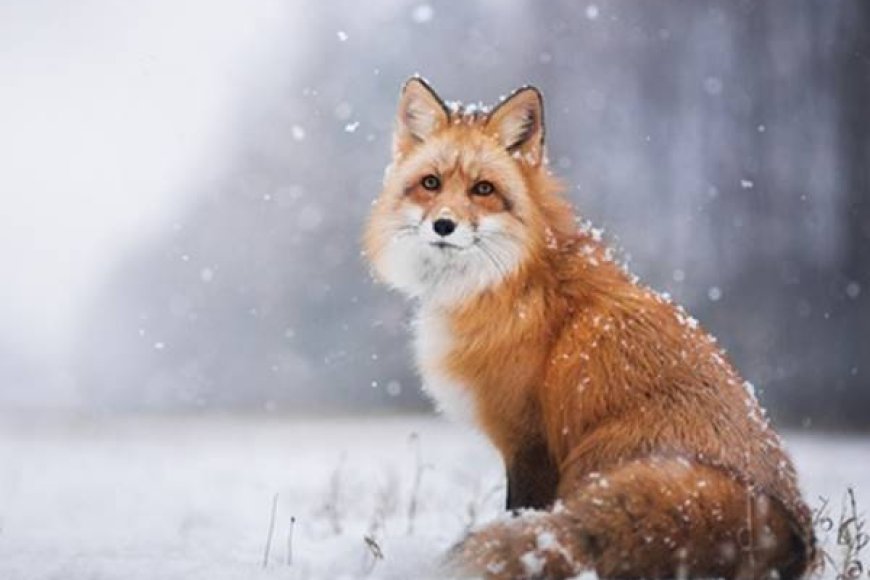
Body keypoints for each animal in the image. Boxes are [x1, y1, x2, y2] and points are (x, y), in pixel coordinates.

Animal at [363, 77, 816, 579]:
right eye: (431, 183)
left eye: (483, 189)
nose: (443, 225)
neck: (513, 282)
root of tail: (788, 530)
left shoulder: (530, 442)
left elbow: (519, 512)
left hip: (595, 459)